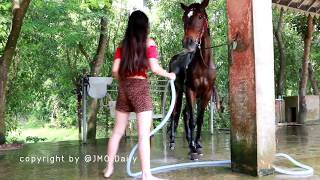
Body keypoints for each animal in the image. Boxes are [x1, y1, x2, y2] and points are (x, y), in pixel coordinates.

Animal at [168, 0, 218, 160]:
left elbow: (199, 119)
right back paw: (172, 142)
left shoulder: (206, 93)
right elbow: (192, 120)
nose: (188, 42)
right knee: (176, 113)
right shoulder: (190, 90)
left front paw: (197, 144)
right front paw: (192, 148)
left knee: (184, 113)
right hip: (178, 91)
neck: (203, 63)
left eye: (200, 16)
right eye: (184, 18)